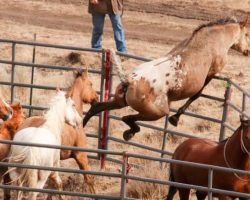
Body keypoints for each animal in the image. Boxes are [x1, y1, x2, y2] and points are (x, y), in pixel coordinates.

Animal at [82, 16, 250, 141]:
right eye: (247, 34)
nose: (247, 50)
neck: (213, 38)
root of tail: (130, 81)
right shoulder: (211, 73)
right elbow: (197, 95)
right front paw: (175, 118)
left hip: (119, 101)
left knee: (98, 107)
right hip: (157, 112)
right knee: (127, 118)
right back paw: (129, 133)